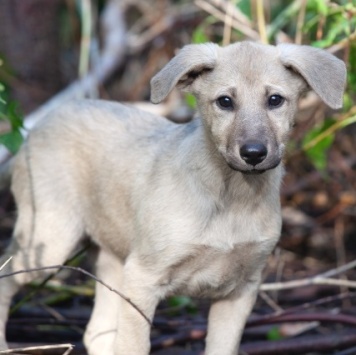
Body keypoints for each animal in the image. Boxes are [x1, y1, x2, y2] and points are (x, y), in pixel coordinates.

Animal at [0, 41, 346, 354]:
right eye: (225, 102)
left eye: (275, 100)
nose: (253, 154)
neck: (232, 196)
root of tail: (44, 120)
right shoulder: (142, 278)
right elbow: (133, 347)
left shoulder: (242, 290)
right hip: (49, 239)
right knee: (7, 276)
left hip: (111, 258)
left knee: (96, 332)